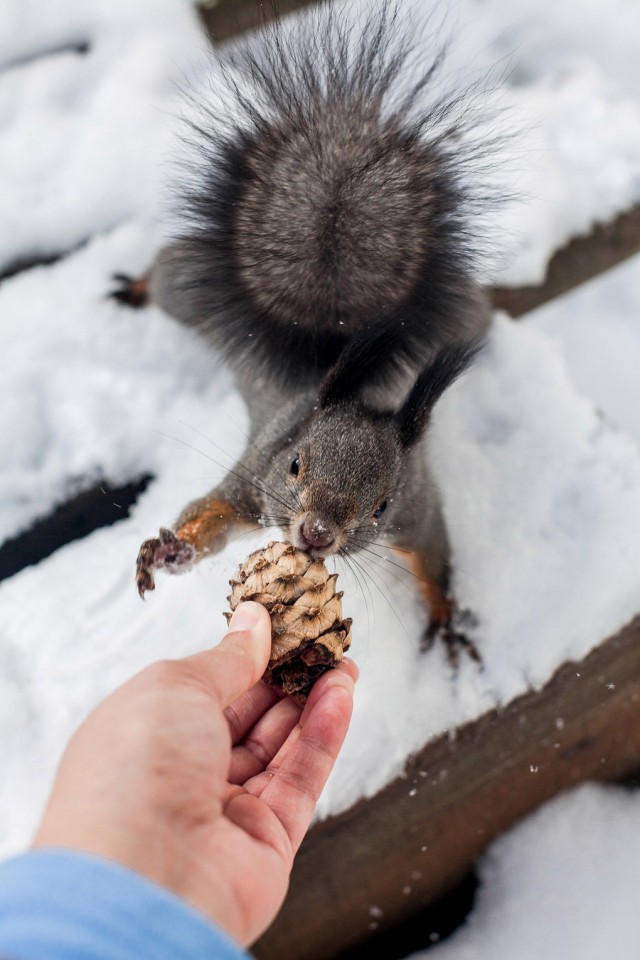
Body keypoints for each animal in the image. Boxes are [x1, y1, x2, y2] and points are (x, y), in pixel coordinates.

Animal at [114, 3, 490, 664]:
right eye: (294, 463)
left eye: (382, 503)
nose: (316, 535)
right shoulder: (255, 475)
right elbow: (212, 513)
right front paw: (170, 549)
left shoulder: (418, 508)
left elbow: (436, 554)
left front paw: (445, 614)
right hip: (186, 289)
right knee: (164, 274)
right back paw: (134, 287)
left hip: (470, 309)